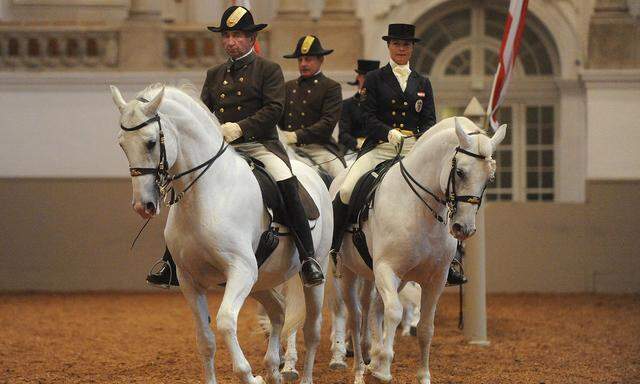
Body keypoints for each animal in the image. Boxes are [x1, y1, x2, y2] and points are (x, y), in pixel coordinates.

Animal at [109, 85, 332, 384]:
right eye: (122, 145)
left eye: (151, 143)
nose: (142, 206)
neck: (206, 195)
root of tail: (312, 173)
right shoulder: (189, 280)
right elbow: (205, 340)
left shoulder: (241, 270)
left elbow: (226, 321)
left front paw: (250, 376)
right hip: (261, 280)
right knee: (278, 311)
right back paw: (274, 368)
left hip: (312, 272)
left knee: (312, 329)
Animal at [330, 118, 504, 384]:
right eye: (460, 172)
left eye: (490, 178)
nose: (463, 228)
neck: (421, 209)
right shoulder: (387, 269)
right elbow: (394, 312)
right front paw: (383, 368)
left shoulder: (435, 279)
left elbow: (425, 327)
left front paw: (421, 375)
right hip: (349, 272)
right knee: (357, 314)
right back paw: (360, 369)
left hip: (384, 278)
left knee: (373, 309)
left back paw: (372, 356)